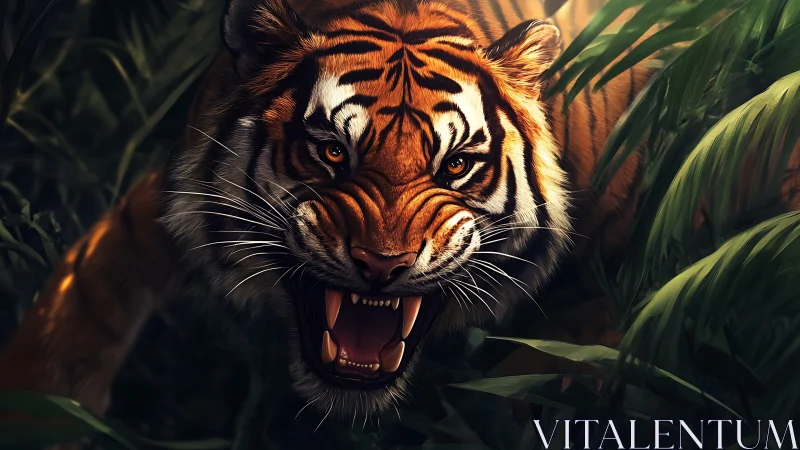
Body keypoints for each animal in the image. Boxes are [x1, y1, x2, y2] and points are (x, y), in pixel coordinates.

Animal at [0, 0, 654, 423]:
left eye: (456, 165)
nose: (382, 265)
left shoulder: (613, 262)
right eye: (333, 151)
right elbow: (72, 317)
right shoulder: (148, 219)